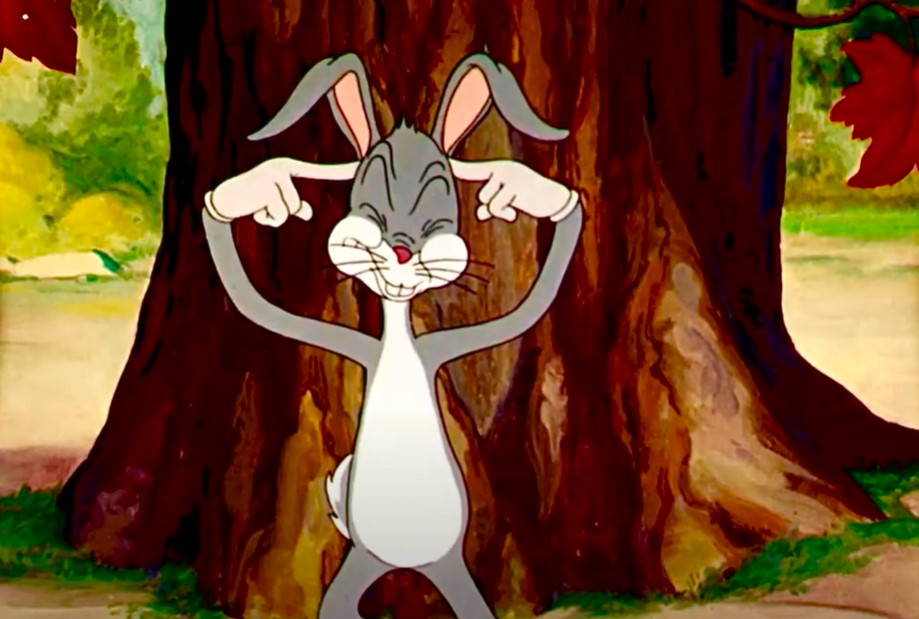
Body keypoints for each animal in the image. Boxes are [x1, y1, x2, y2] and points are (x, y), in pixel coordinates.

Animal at [202, 51, 584, 619]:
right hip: (363, 564)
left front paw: (527, 190)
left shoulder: (443, 347)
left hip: (446, 567)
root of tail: (406, 564)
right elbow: (253, 302)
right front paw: (257, 189)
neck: (400, 335)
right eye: (371, 214)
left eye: (436, 221)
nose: (403, 250)